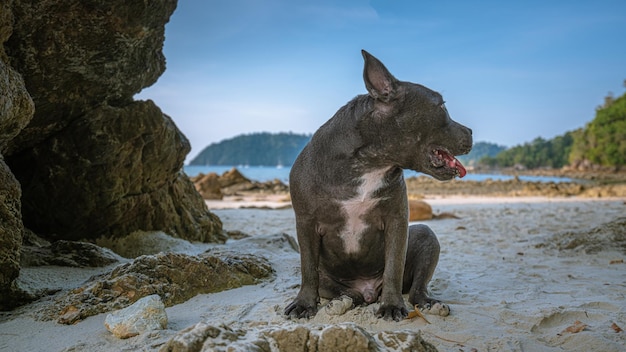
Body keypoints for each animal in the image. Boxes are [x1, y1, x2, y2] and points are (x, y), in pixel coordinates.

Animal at [282, 50, 468, 322]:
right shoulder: (305, 222)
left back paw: (428, 303)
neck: (370, 163)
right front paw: (304, 303)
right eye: (442, 106)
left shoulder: (396, 220)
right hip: (329, 276)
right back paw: (341, 302)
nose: (470, 131)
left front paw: (391, 305)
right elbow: (308, 270)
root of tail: (368, 290)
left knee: (416, 289)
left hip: (425, 235)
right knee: (342, 290)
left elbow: (393, 267)